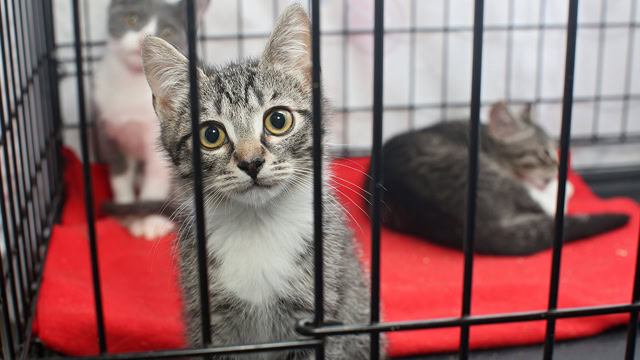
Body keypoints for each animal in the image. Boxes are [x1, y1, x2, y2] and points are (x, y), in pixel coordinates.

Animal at [94, 0, 209, 239]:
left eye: (167, 31)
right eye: (132, 19)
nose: (141, 39)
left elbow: (156, 178)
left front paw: (151, 222)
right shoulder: (108, 130)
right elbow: (119, 176)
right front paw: (126, 212)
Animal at [139, 4, 382, 358]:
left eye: (278, 120)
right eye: (211, 135)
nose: (251, 162)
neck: (257, 225)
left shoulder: (318, 319)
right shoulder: (211, 321)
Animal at [372, 102, 628, 256]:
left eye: (555, 150)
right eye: (544, 154)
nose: (557, 169)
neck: (482, 135)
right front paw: (560, 183)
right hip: (494, 177)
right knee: (548, 207)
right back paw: (562, 187)